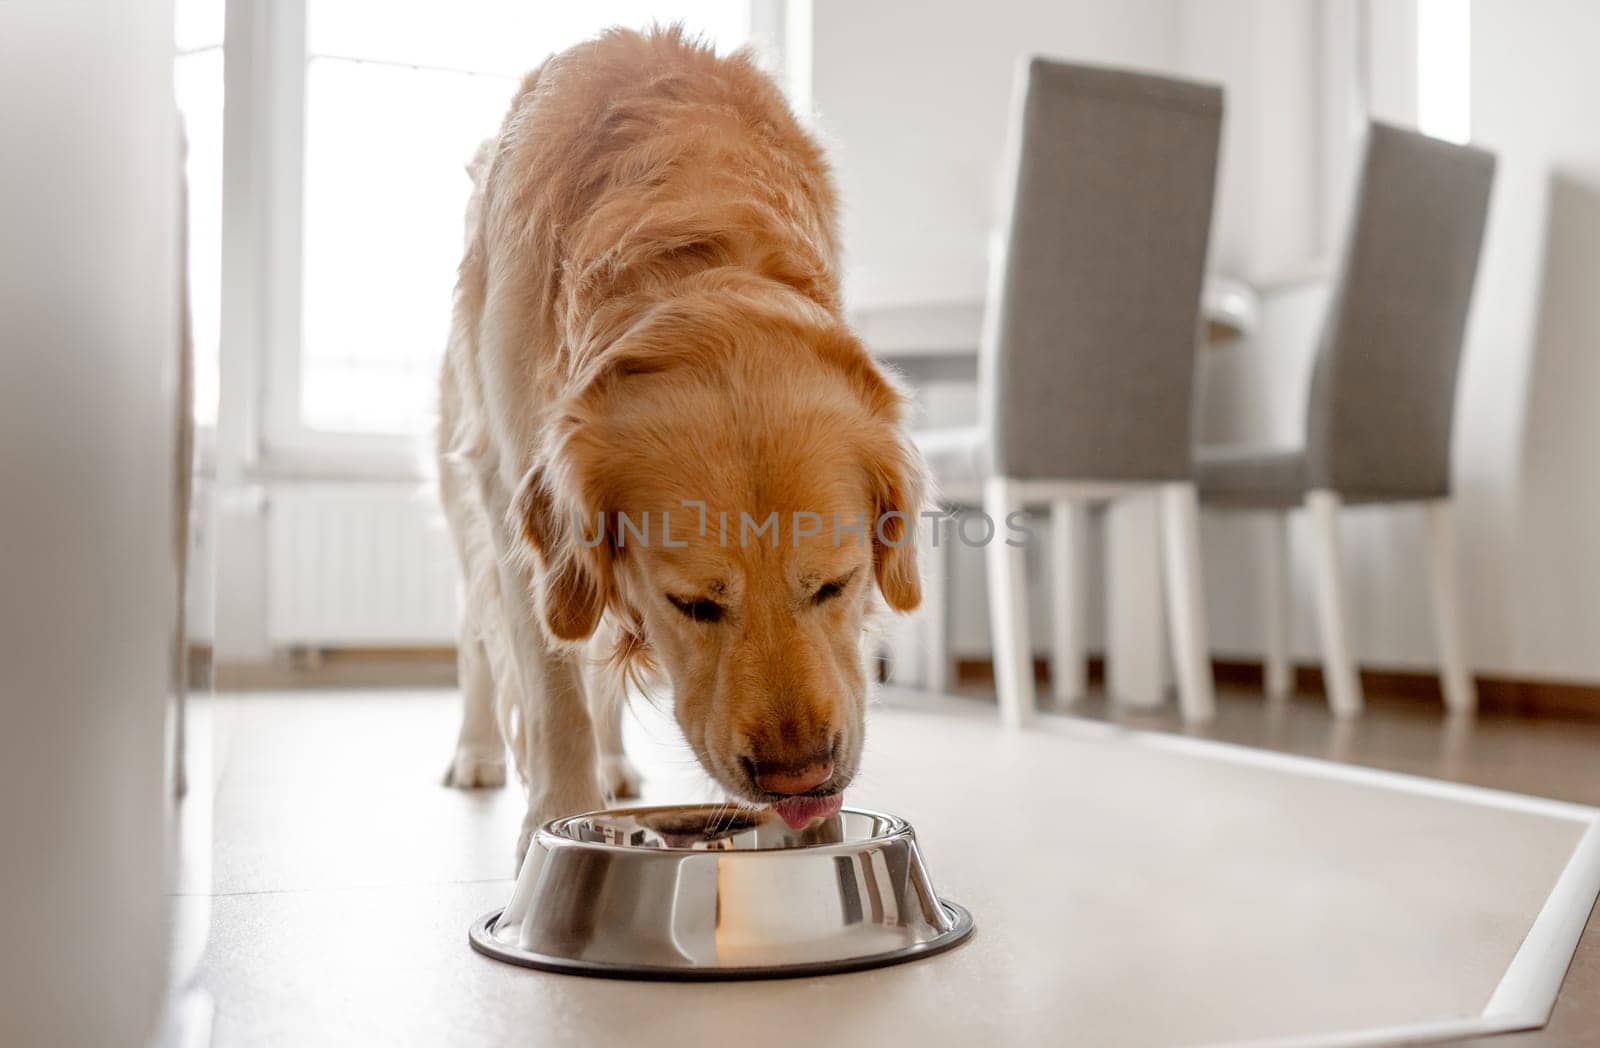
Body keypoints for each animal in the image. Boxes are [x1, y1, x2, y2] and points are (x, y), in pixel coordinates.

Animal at [438, 28, 928, 864]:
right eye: (693, 604)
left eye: (836, 585)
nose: (798, 779)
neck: (691, 255)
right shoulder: (513, 493)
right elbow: (552, 687)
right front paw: (551, 820)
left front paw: (822, 838)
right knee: (485, 640)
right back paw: (478, 752)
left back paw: (613, 766)